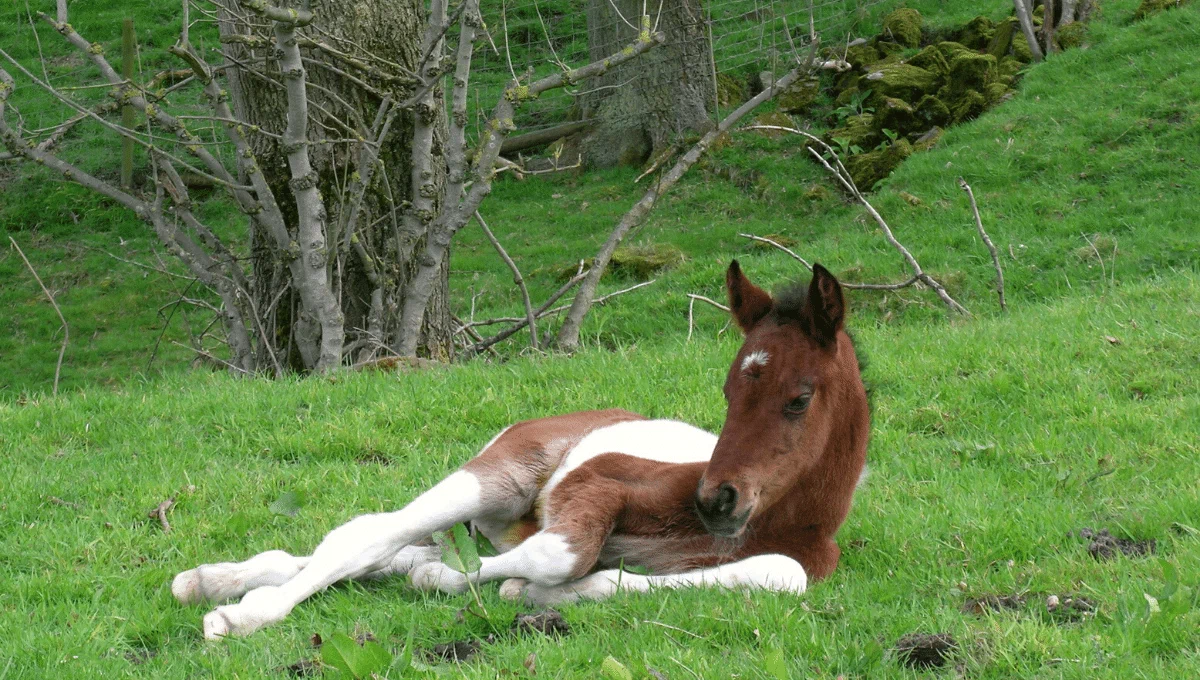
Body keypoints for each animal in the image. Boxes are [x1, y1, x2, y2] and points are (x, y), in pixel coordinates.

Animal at [174, 262, 868, 638]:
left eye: (799, 398)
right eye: (726, 389)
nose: (717, 499)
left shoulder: (797, 563)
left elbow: (778, 574)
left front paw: (532, 594)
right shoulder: (597, 486)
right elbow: (561, 554)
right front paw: (465, 583)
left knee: (381, 553)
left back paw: (207, 581)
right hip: (495, 478)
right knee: (367, 535)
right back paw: (240, 612)